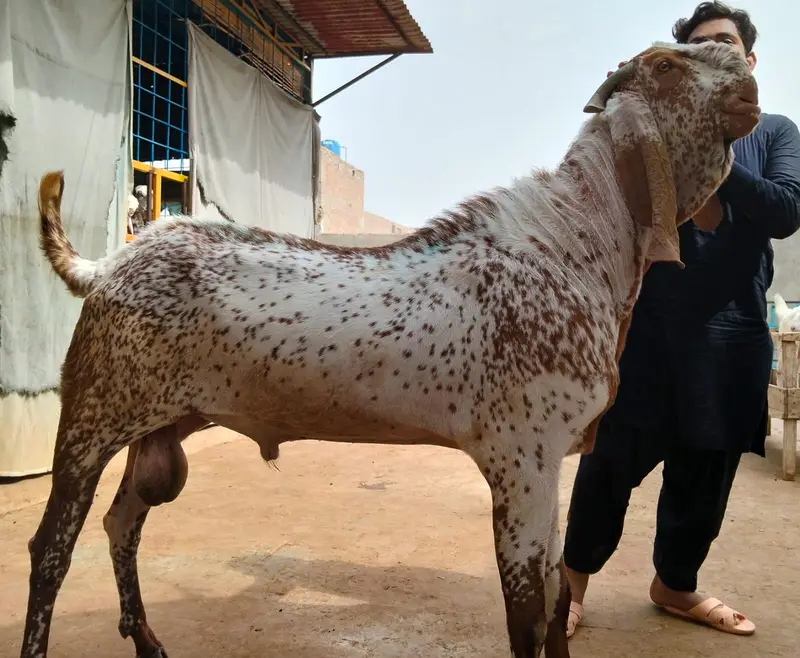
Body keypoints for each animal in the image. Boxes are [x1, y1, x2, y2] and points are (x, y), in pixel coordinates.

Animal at [20, 41, 760, 658]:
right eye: (665, 65)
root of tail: (108, 267)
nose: (745, 72)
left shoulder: (549, 461)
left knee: (122, 523)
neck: (574, 245)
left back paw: (147, 640)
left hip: (164, 426)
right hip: (94, 415)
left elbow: (554, 602)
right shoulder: (521, 455)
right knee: (50, 550)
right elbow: (526, 611)